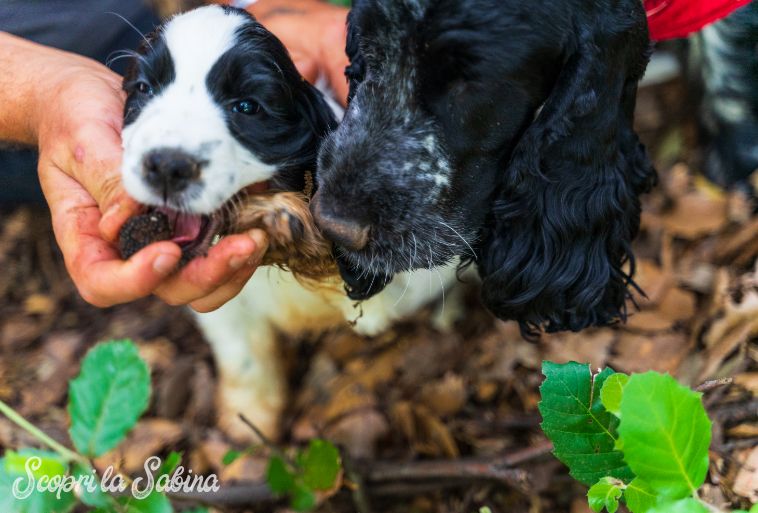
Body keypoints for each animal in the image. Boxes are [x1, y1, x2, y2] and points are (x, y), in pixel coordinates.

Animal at [123, 5, 464, 440]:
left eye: (247, 107)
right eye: (144, 89)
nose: (167, 165)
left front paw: (284, 220)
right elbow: (241, 353)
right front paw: (248, 424)